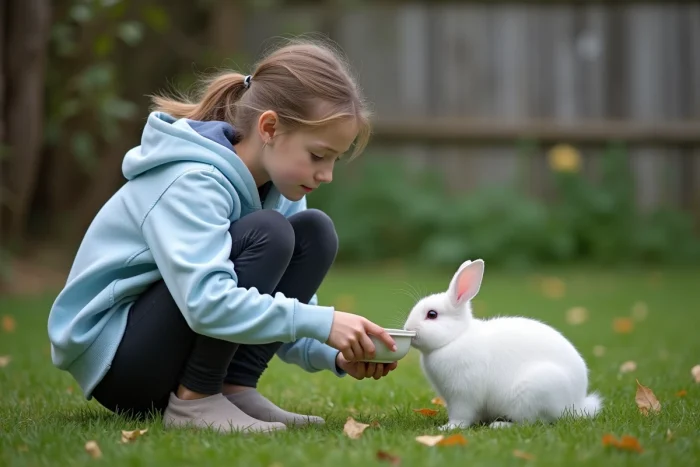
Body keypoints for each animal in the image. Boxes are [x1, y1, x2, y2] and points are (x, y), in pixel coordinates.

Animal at [403, 259, 602, 431]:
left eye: (432, 314)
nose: (408, 328)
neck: (456, 337)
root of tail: (576, 403)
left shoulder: (463, 394)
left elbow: (461, 415)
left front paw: (448, 428)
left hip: (532, 393)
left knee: (532, 422)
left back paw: (500, 425)